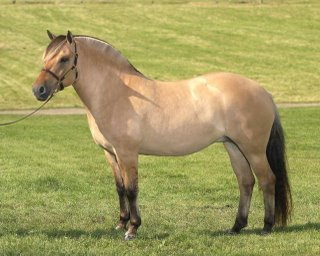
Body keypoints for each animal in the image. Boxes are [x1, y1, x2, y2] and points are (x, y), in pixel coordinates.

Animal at [33, 30, 292, 240]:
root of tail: (264, 92)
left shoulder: (127, 153)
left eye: (64, 58)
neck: (117, 93)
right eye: (45, 58)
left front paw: (132, 229)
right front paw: (121, 224)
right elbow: (119, 188)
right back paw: (236, 226)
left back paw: (267, 227)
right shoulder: (111, 154)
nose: (38, 90)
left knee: (267, 180)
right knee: (246, 182)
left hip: (253, 149)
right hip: (233, 146)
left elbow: (131, 189)